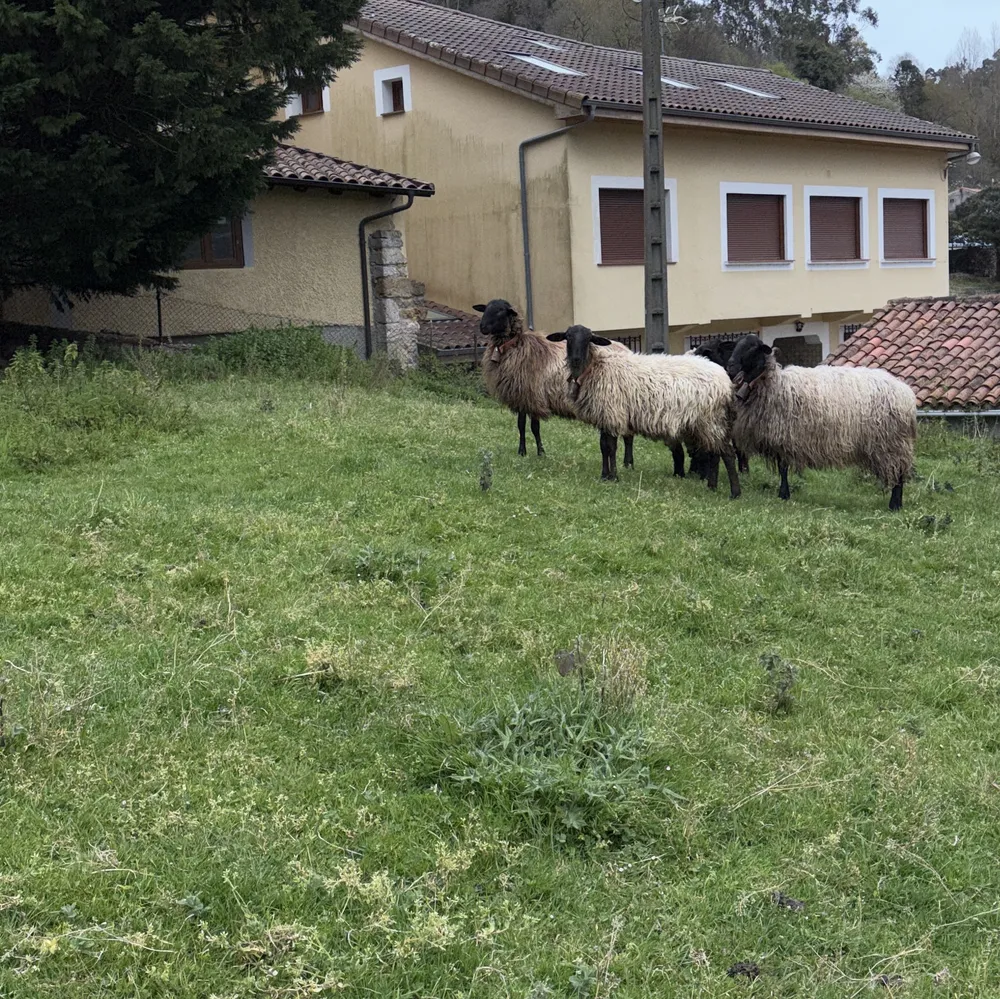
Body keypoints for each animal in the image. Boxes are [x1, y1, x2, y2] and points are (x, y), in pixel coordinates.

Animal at [473, 299, 636, 465]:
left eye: (500, 310)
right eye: (485, 308)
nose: (482, 327)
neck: (515, 345)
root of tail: (626, 349)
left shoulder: (528, 396)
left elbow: (528, 426)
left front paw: (530, 452)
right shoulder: (529, 397)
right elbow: (528, 426)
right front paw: (535, 453)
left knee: (628, 435)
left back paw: (627, 462)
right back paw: (628, 462)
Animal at [546, 325, 741, 499]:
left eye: (589, 338)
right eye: (568, 337)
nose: (576, 359)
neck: (595, 366)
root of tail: (725, 381)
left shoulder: (613, 413)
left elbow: (611, 448)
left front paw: (613, 477)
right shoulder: (604, 416)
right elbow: (603, 447)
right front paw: (604, 475)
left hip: (711, 420)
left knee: (727, 454)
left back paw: (734, 493)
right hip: (706, 423)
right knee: (714, 453)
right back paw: (712, 487)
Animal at [726, 334, 917, 511]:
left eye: (753, 348)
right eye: (736, 345)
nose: (730, 367)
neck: (774, 384)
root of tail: (906, 393)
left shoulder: (784, 435)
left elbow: (783, 468)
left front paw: (783, 494)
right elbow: (783, 468)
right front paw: (784, 494)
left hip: (891, 443)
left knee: (899, 473)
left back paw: (894, 505)